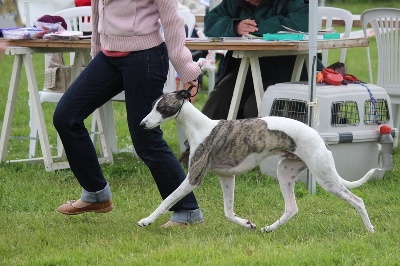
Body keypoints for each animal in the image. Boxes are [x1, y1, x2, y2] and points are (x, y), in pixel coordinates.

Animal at [138, 89, 376, 233]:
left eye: (161, 108)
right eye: (151, 106)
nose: (141, 124)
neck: (200, 127)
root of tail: (318, 136)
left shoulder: (193, 178)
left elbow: (168, 199)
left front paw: (146, 220)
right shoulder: (227, 177)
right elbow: (228, 212)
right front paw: (248, 223)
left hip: (324, 177)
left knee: (357, 200)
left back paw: (370, 231)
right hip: (285, 172)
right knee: (291, 208)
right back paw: (268, 229)